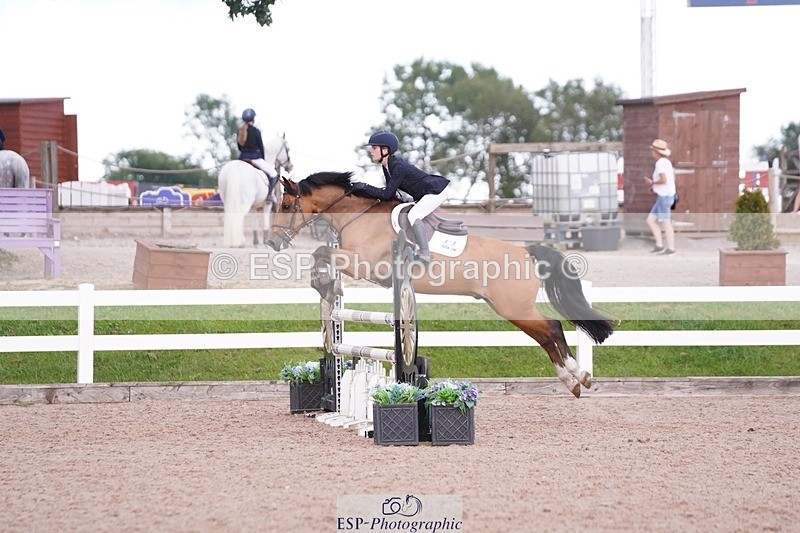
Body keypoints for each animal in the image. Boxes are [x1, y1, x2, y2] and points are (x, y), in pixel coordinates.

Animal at [266, 171, 615, 398]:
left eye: (286, 206)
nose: (272, 243)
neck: (358, 215)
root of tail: (525, 252)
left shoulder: (363, 263)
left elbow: (320, 252)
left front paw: (329, 287)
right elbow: (321, 256)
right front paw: (328, 287)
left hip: (514, 307)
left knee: (552, 328)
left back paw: (578, 377)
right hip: (510, 309)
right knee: (546, 334)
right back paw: (574, 381)